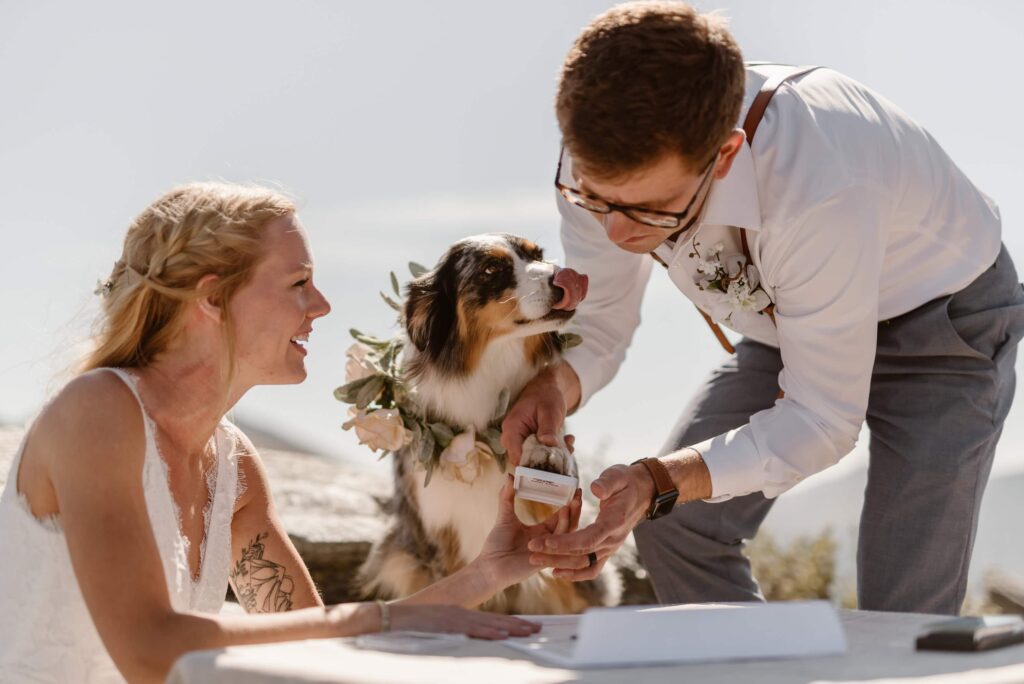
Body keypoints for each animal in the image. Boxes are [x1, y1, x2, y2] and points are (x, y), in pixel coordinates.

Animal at [360, 233, 614, 614]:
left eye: (538, 254)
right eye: (490, 270)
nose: (568, 277)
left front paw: (545, 450)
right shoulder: (441, 541)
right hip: (400, 558)